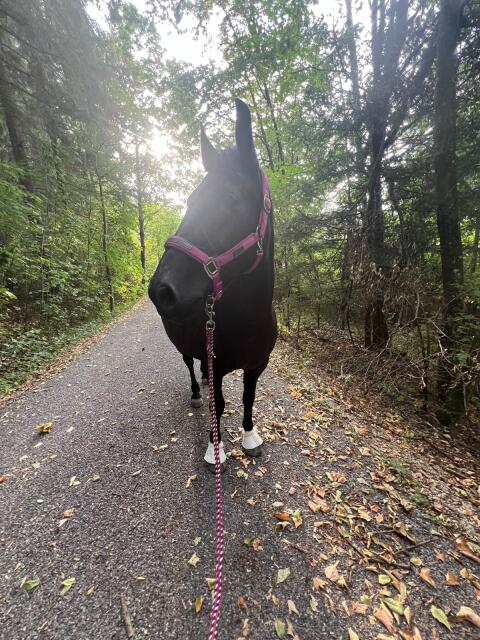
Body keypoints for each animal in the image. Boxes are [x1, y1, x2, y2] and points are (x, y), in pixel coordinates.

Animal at [148, 99, 277, 470]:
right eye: (191, 200)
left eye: (231, 198)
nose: (161, 289)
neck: (247, 320)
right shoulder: (218, 365)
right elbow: (217, 404)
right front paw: (213, 447)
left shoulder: (257, 365)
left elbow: (248, 397)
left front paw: (249, 436)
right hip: (183, 348)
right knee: (190, 365)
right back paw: (196, 391)